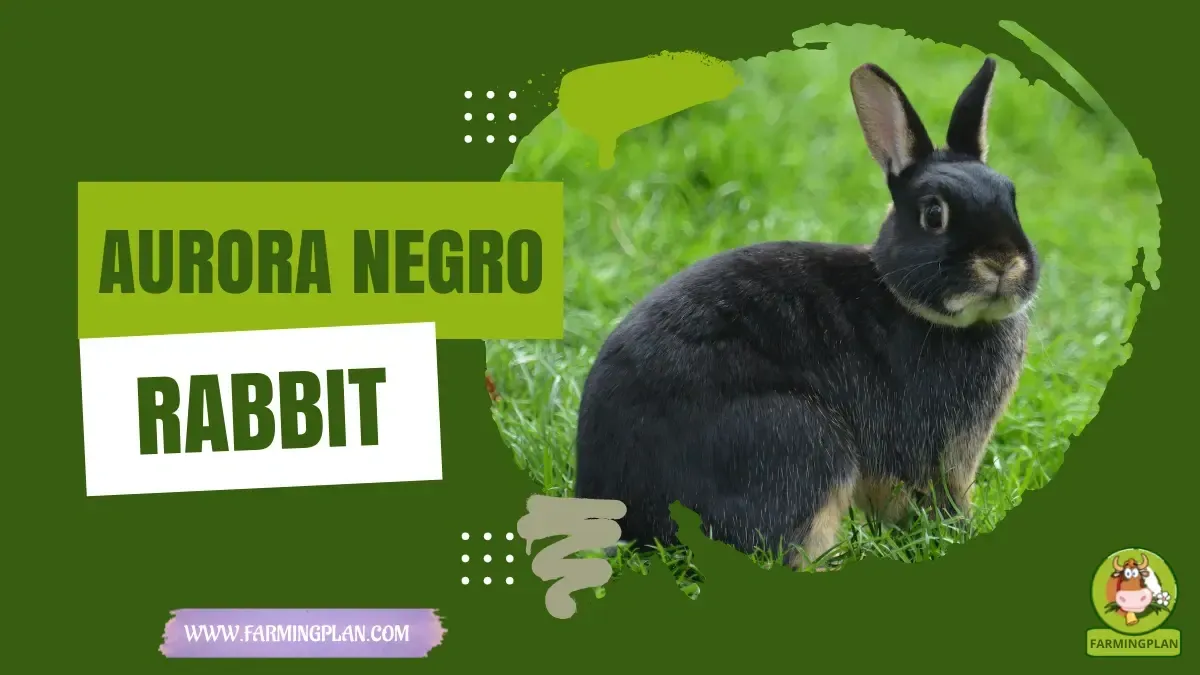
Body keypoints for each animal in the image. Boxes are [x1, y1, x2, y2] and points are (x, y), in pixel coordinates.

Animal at [573, 56, 1039, 570]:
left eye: (1012, 198)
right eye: (934, 214)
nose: (1002, 261)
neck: (906, 302)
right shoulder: (929, 451)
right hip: (797, 440)